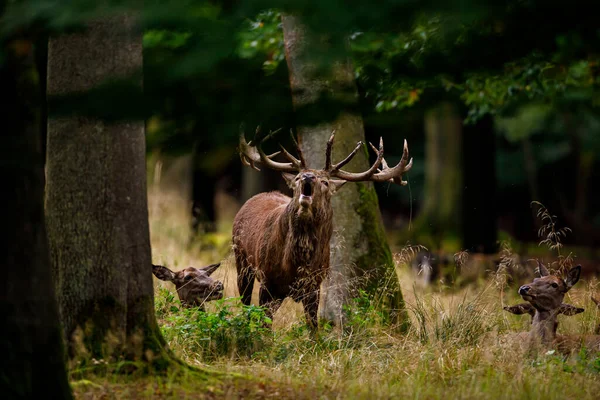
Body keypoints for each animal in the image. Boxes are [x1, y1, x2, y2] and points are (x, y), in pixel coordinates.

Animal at [233, 126, 412, 330]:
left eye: (325, 182)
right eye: (297, 177)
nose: (308, 176)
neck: (296, 263)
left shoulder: (314, 284)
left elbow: (313, 326)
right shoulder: (267, 280)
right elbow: (263, 322)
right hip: (242, 261)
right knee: (245, 303)